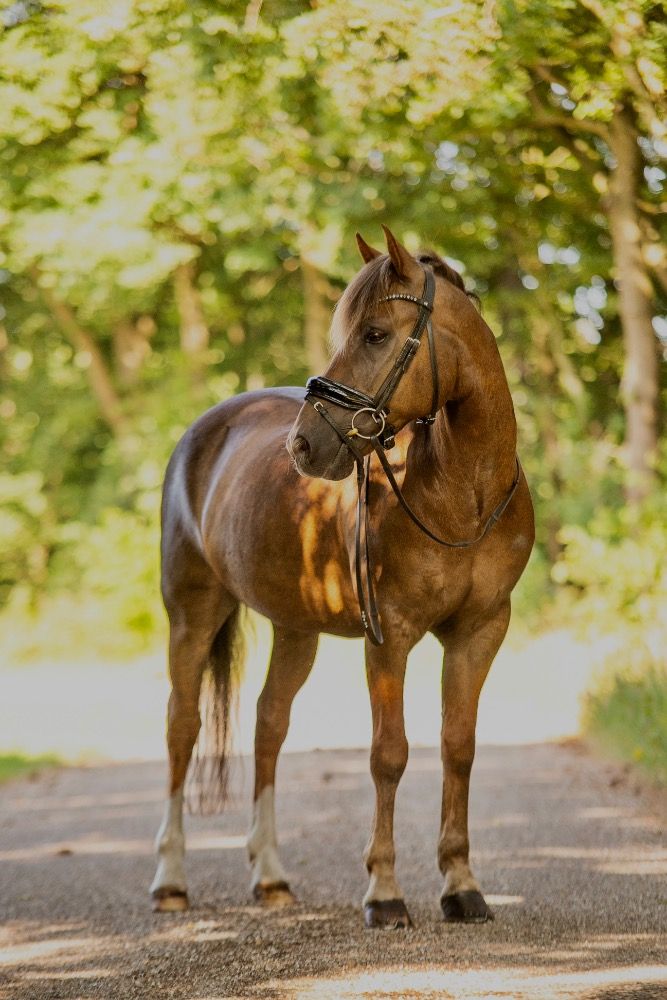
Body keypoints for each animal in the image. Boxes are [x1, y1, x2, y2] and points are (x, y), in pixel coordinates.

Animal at [150, 226, 534, 929]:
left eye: (376, 334)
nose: (305, 446)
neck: (462, 493)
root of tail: (202, 432)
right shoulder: (392, 636)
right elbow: (390, 754)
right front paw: (384, 892)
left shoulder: (481, 631)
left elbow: (458, 749)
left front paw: (462, 885)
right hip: (192, 613)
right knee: (181, 728)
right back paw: (170, 880)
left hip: (294, 629)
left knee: (269, 725)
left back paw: (271, 876)